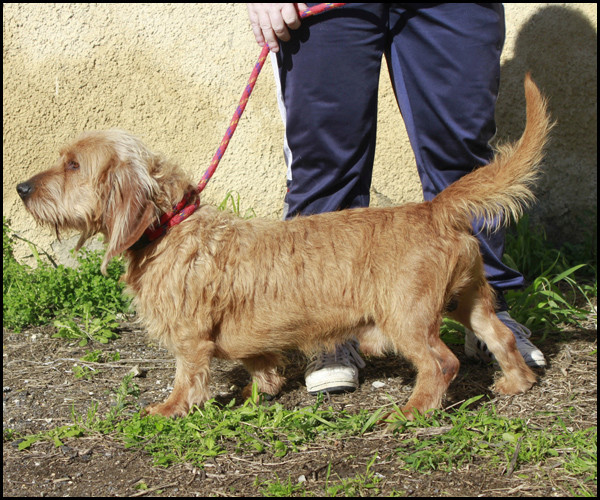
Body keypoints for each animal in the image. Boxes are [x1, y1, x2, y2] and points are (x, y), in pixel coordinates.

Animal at [16, 74, 552, 418]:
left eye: (73, 165)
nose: (21, 188)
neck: (172, 229)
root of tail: (433, 208)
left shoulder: (190, 338)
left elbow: (187, 377)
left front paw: (167, 409)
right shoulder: (243, 333)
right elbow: (258, 361)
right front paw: (265, 390)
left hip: (407, 317)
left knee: (443, 362)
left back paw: (414, 411)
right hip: (470, 299)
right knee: (499, 336)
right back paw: (516, 382)